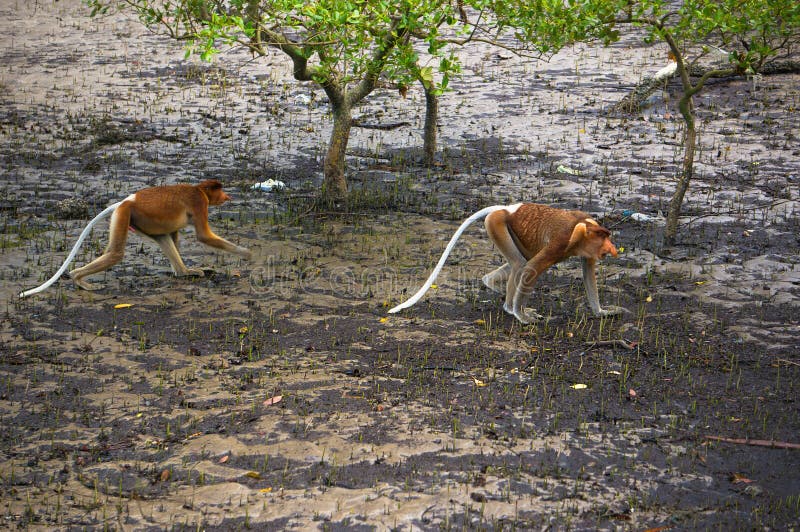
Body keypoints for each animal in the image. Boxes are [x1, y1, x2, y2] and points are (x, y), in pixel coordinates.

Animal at [18, 180, 250, 300]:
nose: (228, 196)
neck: (199, 188)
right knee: (116, 254)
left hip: (140, 220)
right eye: (220, 190)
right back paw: (78, 278)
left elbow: (174, 235)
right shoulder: (199, 203)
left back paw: (184, 272)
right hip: (124, 214)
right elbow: (203, 236)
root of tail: (127, 200)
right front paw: (248, 253)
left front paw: (183, 270)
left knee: (163, 237)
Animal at [388, 202, 624, 322]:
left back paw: (491, 285)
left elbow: (588, 272)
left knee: (517, 262)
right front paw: (523, 316)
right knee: (521, 264)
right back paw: (511, 308)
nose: (612, 248)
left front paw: (602, 312)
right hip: (495, 223)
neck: (584, 228)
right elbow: (532, 268)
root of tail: (508, 208)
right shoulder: (562, 240)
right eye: (604, 237)